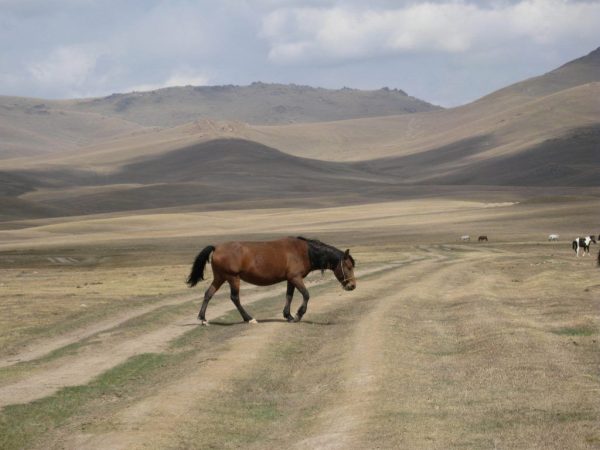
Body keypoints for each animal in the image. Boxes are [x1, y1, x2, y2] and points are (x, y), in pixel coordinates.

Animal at [186, 237, 356, 326]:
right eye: (348, 266)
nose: (352, 286)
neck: (305, 252)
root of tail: (216, 248)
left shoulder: (290, 279)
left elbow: (289, 296)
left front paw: (288, 315)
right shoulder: (296, 278)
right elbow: (306, 295)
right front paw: (298, 314)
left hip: (220, 277)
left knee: (208, 294)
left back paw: (203, 319)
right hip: (232, 277)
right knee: (234, 298)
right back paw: (249, 318)